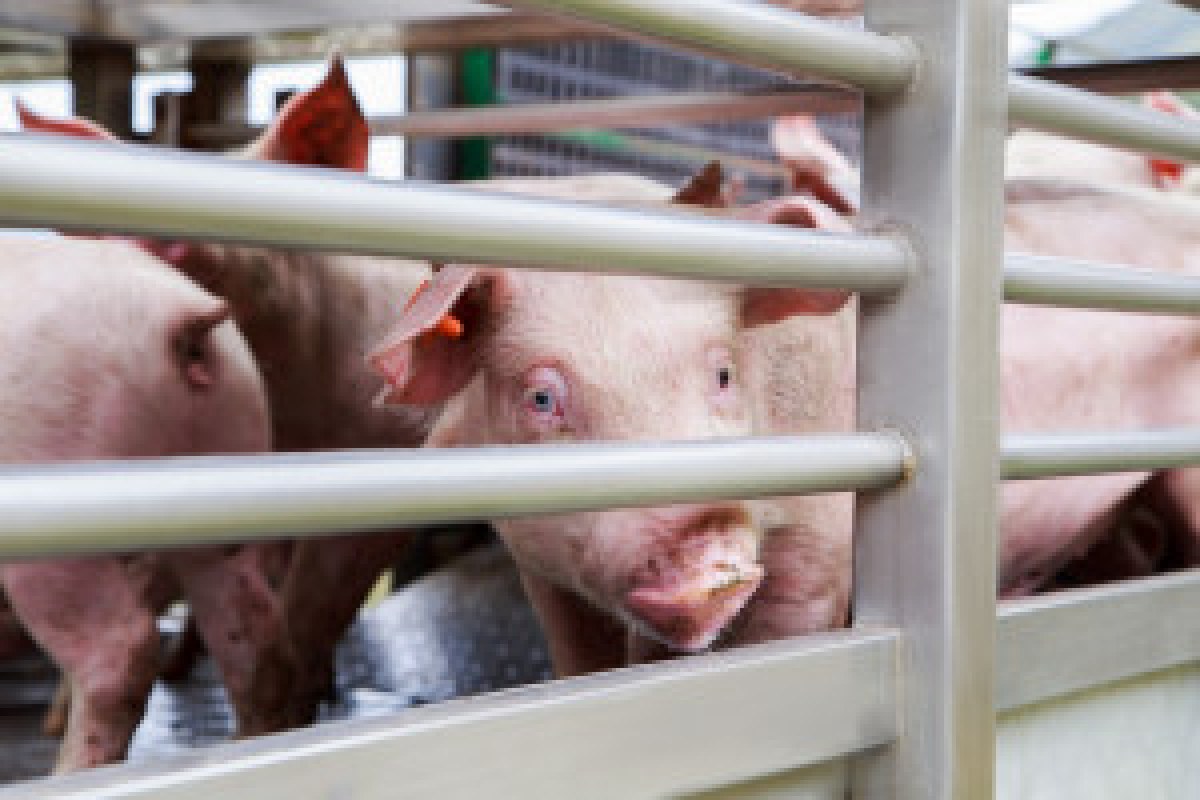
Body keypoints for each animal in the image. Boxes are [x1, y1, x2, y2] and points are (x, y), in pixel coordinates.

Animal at [0, 236, 275, 771]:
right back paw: (251, 742)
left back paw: (67, 773)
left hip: (59, 501)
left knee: (120, 651)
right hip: (231, 472)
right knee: (250, 624)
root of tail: (180, 318)